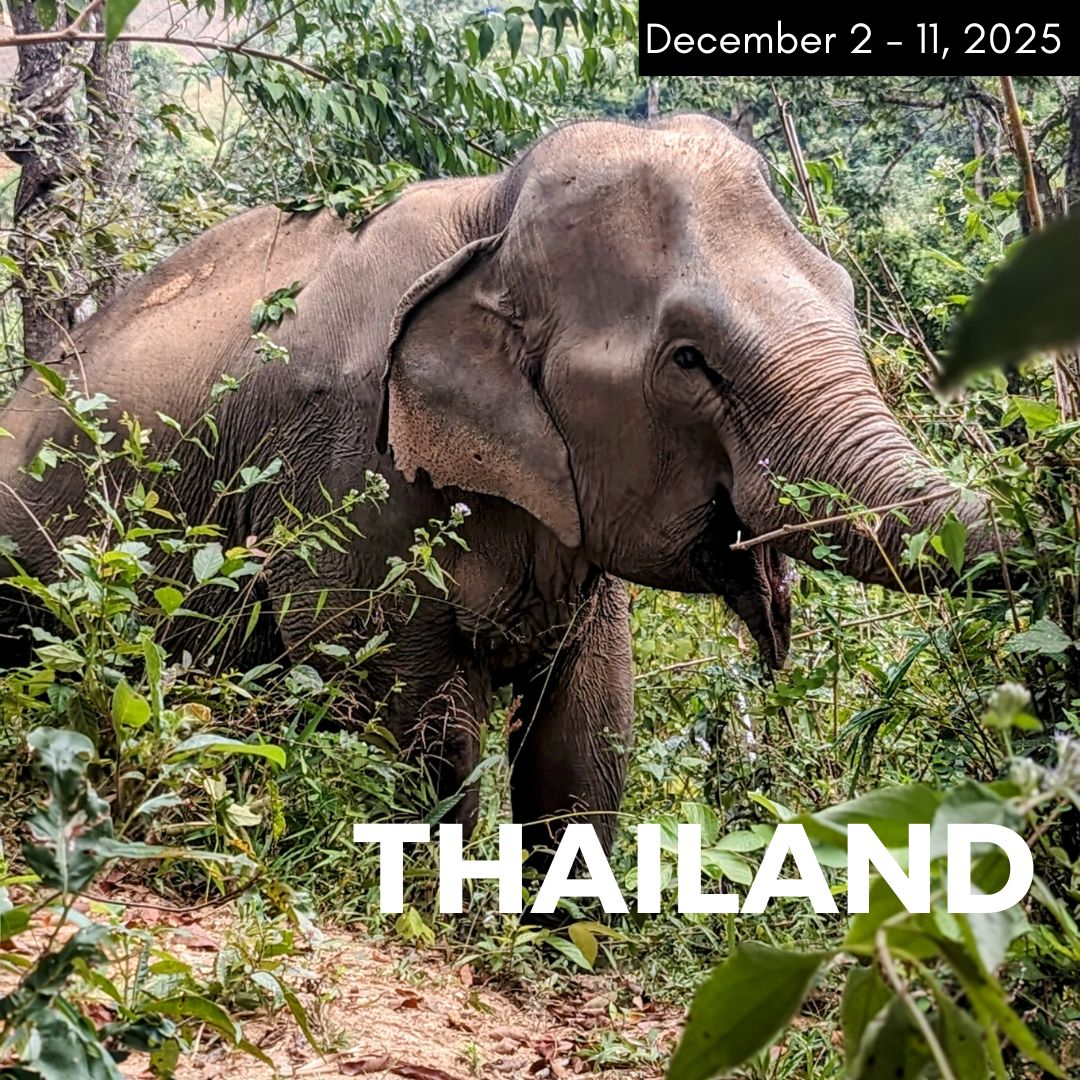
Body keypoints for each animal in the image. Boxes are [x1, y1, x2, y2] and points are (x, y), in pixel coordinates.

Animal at [0, 111, 997, 859]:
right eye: (688, 359)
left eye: (846, 295)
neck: (491, 219)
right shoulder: (348, 473)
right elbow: (414, 717)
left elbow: (587, 732)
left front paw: (573, 948)